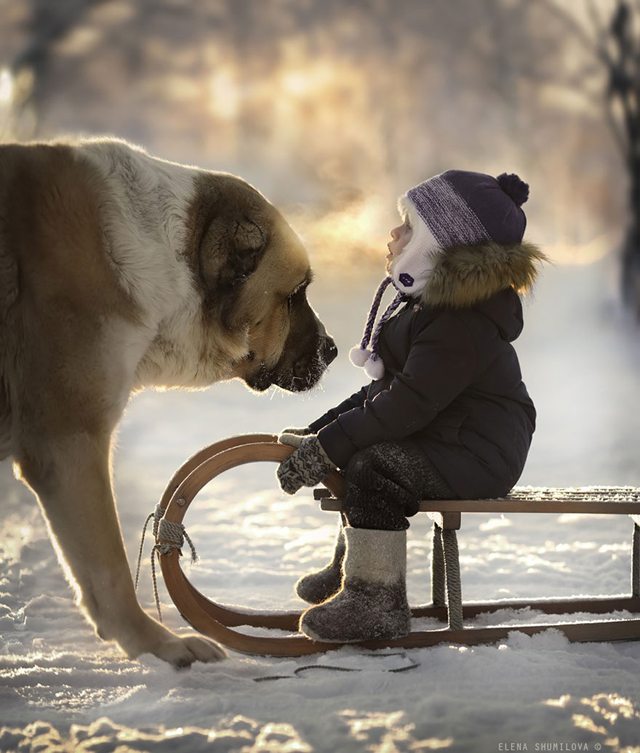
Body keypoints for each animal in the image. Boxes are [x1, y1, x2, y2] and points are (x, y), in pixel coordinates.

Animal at [0, 138, 340, 668]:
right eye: (295, 294)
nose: (334, 349)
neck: (173, 258)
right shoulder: (67, 442)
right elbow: (110, 568)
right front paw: (159, 646)